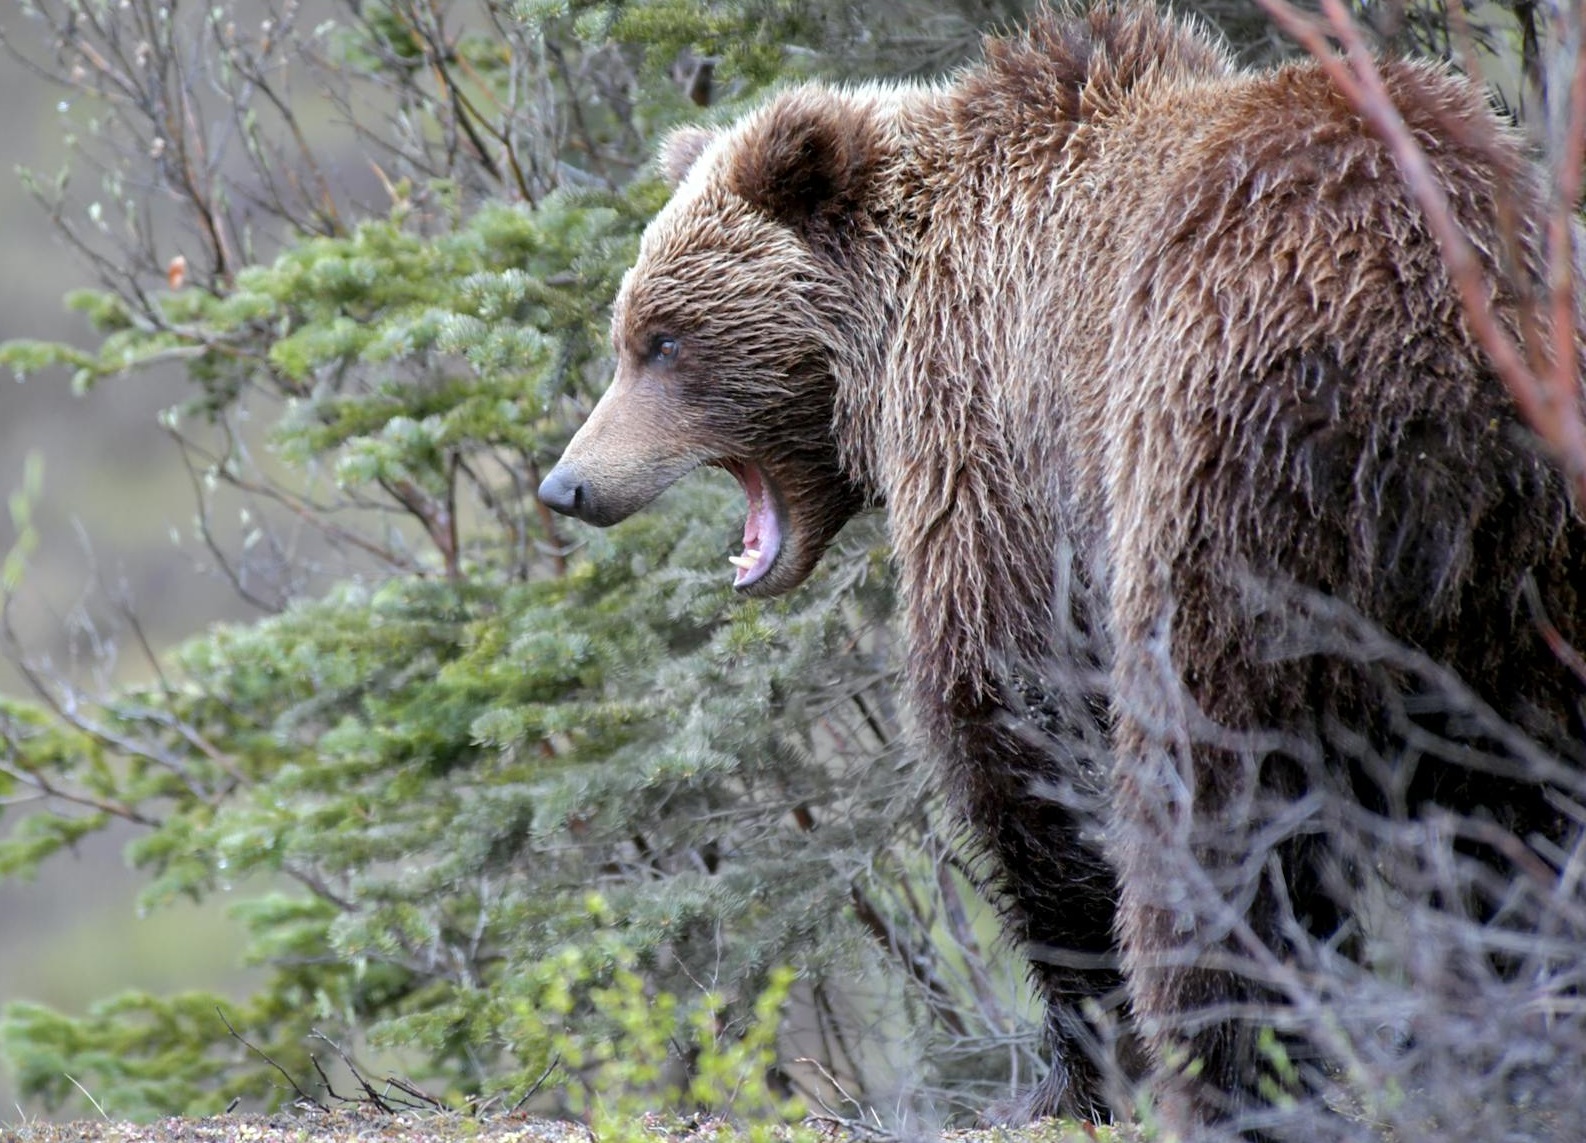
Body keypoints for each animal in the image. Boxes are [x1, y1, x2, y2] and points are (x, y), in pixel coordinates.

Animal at [539, 3, 1586, 1134]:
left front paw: (1072, 1064)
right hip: (1522, 562)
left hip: (1224, 472)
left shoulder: (995, 434)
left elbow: (1005, 704)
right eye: (629, 332)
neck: (893, 324)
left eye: (664, 341)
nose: (568, 484)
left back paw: (1228, 1071)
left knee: (1214, 792)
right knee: (1525, 802)